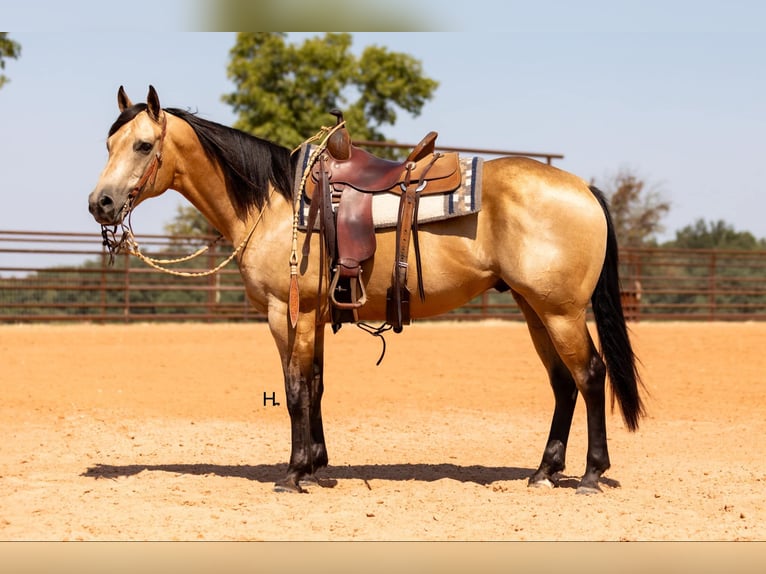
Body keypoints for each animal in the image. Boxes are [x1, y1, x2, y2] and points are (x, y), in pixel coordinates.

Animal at [87, 84, 644, 496]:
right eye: (108, 145)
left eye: (142, 145)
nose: (101, 203)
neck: (277, 204)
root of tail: (583, 188)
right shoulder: (313, 316)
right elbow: (315, 386)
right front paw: (318, 467)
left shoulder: (286, 312)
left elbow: (294, 390)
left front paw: (293, 474)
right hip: (535, 309)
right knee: (563, 382)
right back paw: (544, 472)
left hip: (561, 311)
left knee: (590, 375)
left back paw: (590, 474)